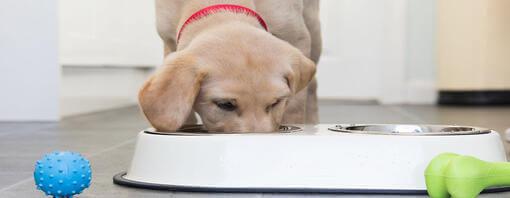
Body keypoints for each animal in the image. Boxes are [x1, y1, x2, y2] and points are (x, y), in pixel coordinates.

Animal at [138, 0, 322, 133]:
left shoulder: (296, 35)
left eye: (276, 102)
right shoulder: (169, 40)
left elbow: (295, 105)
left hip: (313, 27)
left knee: (312, 87)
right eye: (225, 105)